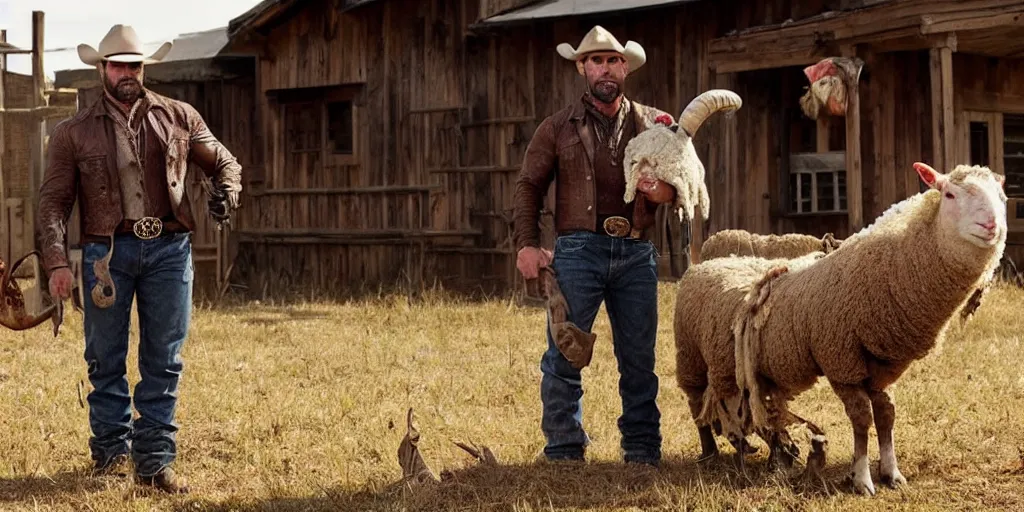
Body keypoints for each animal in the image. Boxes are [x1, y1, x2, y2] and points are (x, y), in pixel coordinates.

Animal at [737, 162, 1007, 495]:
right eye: (950, 194)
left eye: (1003, 197)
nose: (991, 226)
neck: (891, 269)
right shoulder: (840, 360)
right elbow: (862, 418)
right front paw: (862, 479)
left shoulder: (882, 366)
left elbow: (887, 414)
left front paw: (891, 473)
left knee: (768, 413)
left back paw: (778, 454)